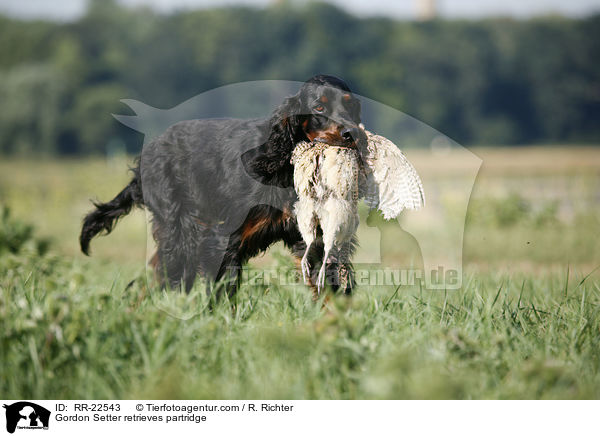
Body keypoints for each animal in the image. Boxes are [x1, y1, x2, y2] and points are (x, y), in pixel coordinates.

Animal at [79, 76, 366, 300]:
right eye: (319, 107)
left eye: (351, 105)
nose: (353, 134)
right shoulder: (223, 238)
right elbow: (222, 291)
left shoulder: (315, 238)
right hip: (180, 232)